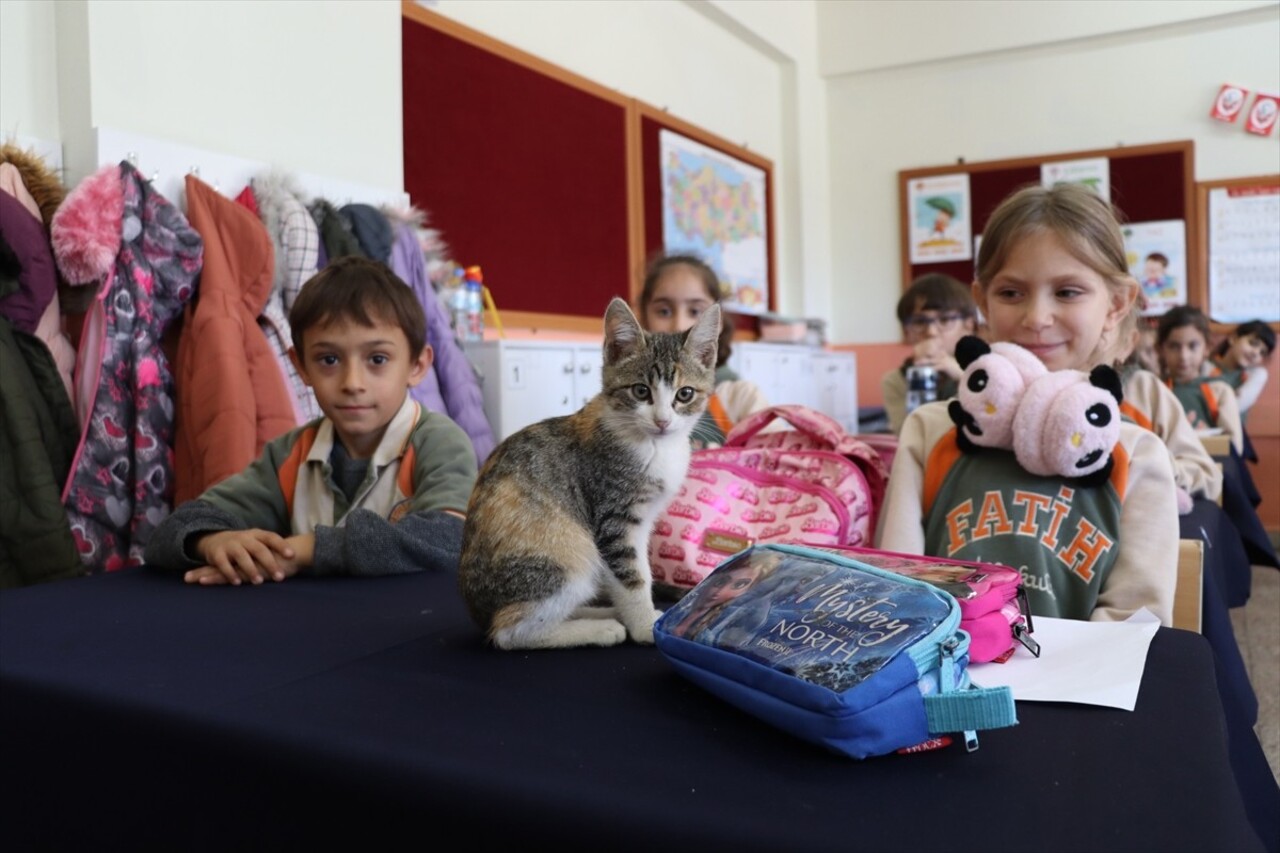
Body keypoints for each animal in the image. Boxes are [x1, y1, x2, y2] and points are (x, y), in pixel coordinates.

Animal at [458, 295, 721, 648]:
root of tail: (478, 613)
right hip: (568, 554)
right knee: (508, 633)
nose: (663, 421)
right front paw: (645, 627)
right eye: (640, 391)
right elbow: (632, 576)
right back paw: (597, 628)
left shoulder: (641, 523)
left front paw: (642, 614)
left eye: (685, 394)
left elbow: (641, 570)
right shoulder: (613, 514)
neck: (653, 444)